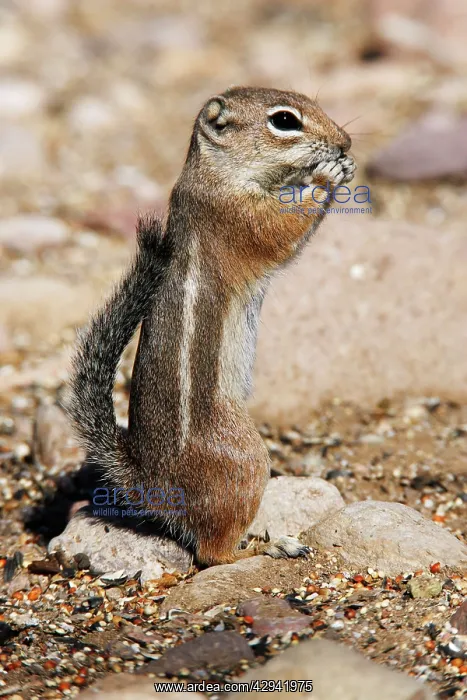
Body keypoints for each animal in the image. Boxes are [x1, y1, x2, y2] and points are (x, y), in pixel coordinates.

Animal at [67, 86, 355, 566]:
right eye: (284, 120)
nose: (345, 143)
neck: (214, 170)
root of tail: (152, 483)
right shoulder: (236, 215)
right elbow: (281, 229)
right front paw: (328, 175)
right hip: (246, 459)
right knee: (212, 554)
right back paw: (267, 546)